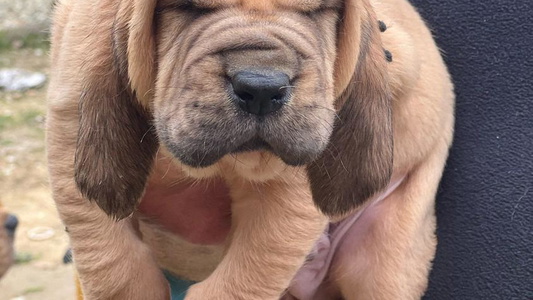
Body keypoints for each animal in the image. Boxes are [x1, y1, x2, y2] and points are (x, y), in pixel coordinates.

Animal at [46, 0, 454, 298]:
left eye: (318, 11)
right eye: (187, 6)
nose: (261, 88)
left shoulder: (285, 192)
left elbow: (243, 278)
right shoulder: (69, 132)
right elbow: (113, 262)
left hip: (383, 258)